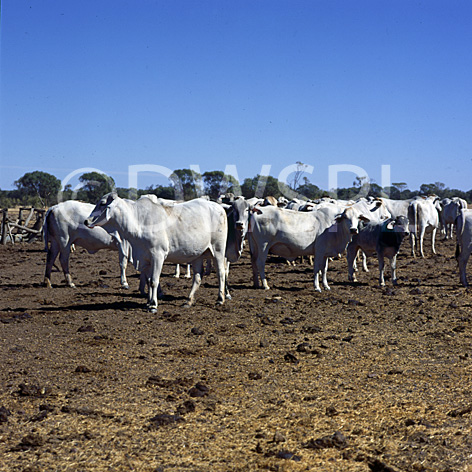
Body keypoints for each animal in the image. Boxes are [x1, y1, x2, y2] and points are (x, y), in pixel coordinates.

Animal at [85, 194, 229, 312]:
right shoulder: (146, 259)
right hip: (198, 254)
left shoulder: (158, 255)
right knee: (198, 277)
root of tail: (219, 207)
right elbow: (149, 281)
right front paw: (148, 303)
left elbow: (154, 281)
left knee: (221, 273)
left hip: (218, 250)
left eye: (102, 203)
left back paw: (220, 299)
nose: (86, 221)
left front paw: (153, 305)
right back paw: (188, 301)